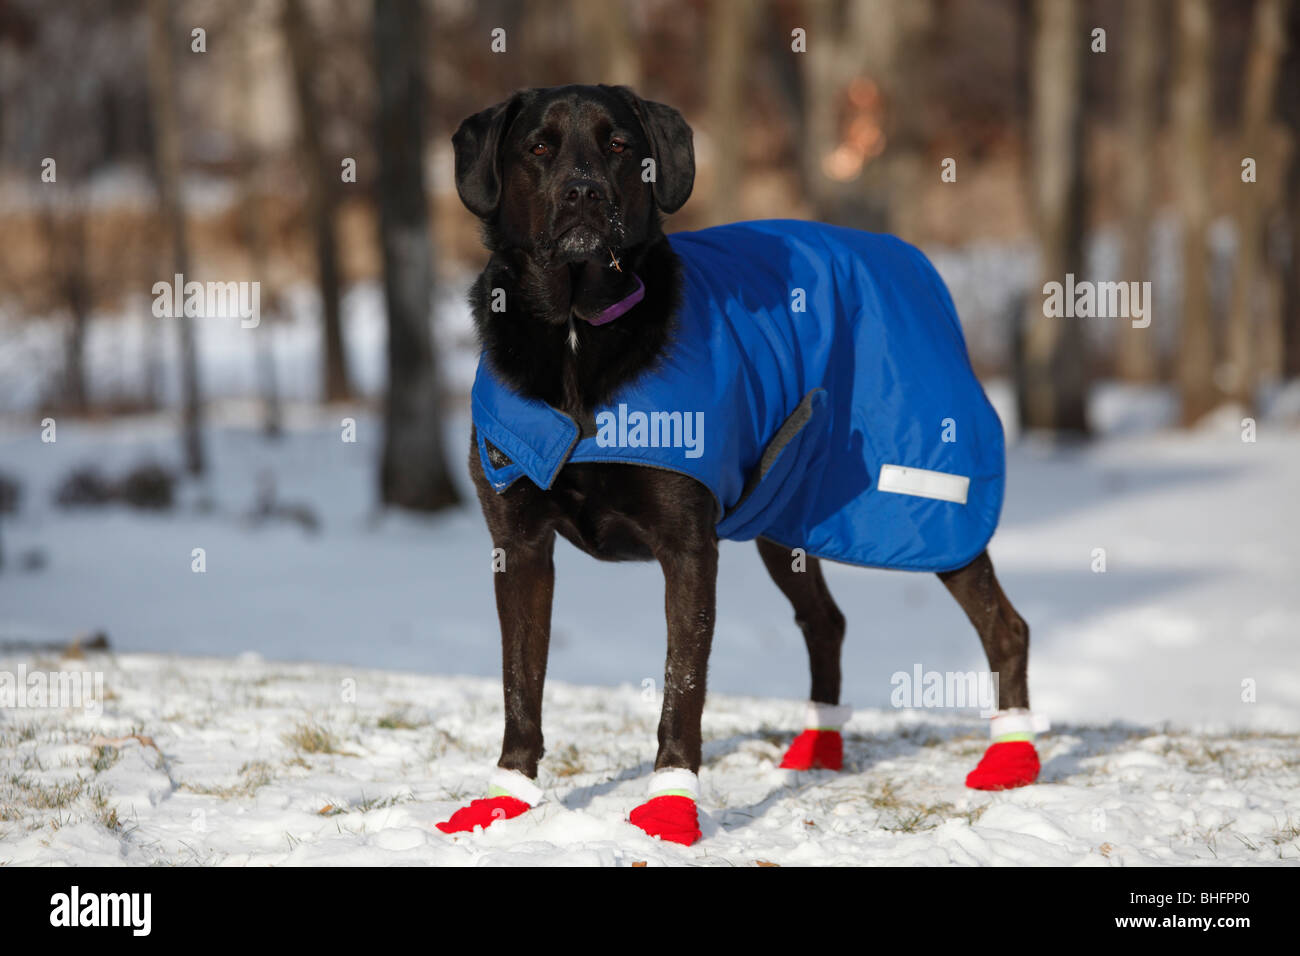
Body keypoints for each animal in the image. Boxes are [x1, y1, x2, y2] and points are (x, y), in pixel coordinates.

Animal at [441, 83, 1040, 842]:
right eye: (539, 147)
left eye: (620, 145)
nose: (584, 193)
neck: (578, 332)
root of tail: (918, 265)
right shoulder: (517, 544)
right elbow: (520, 684)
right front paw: (507, 797)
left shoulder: (688, 547)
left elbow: (683, 688)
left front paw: (670, 805)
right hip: (789, 517)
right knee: (827, 622)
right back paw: (819, 748)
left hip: (928, 506)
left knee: (1005, 627)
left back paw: (1012, 757)